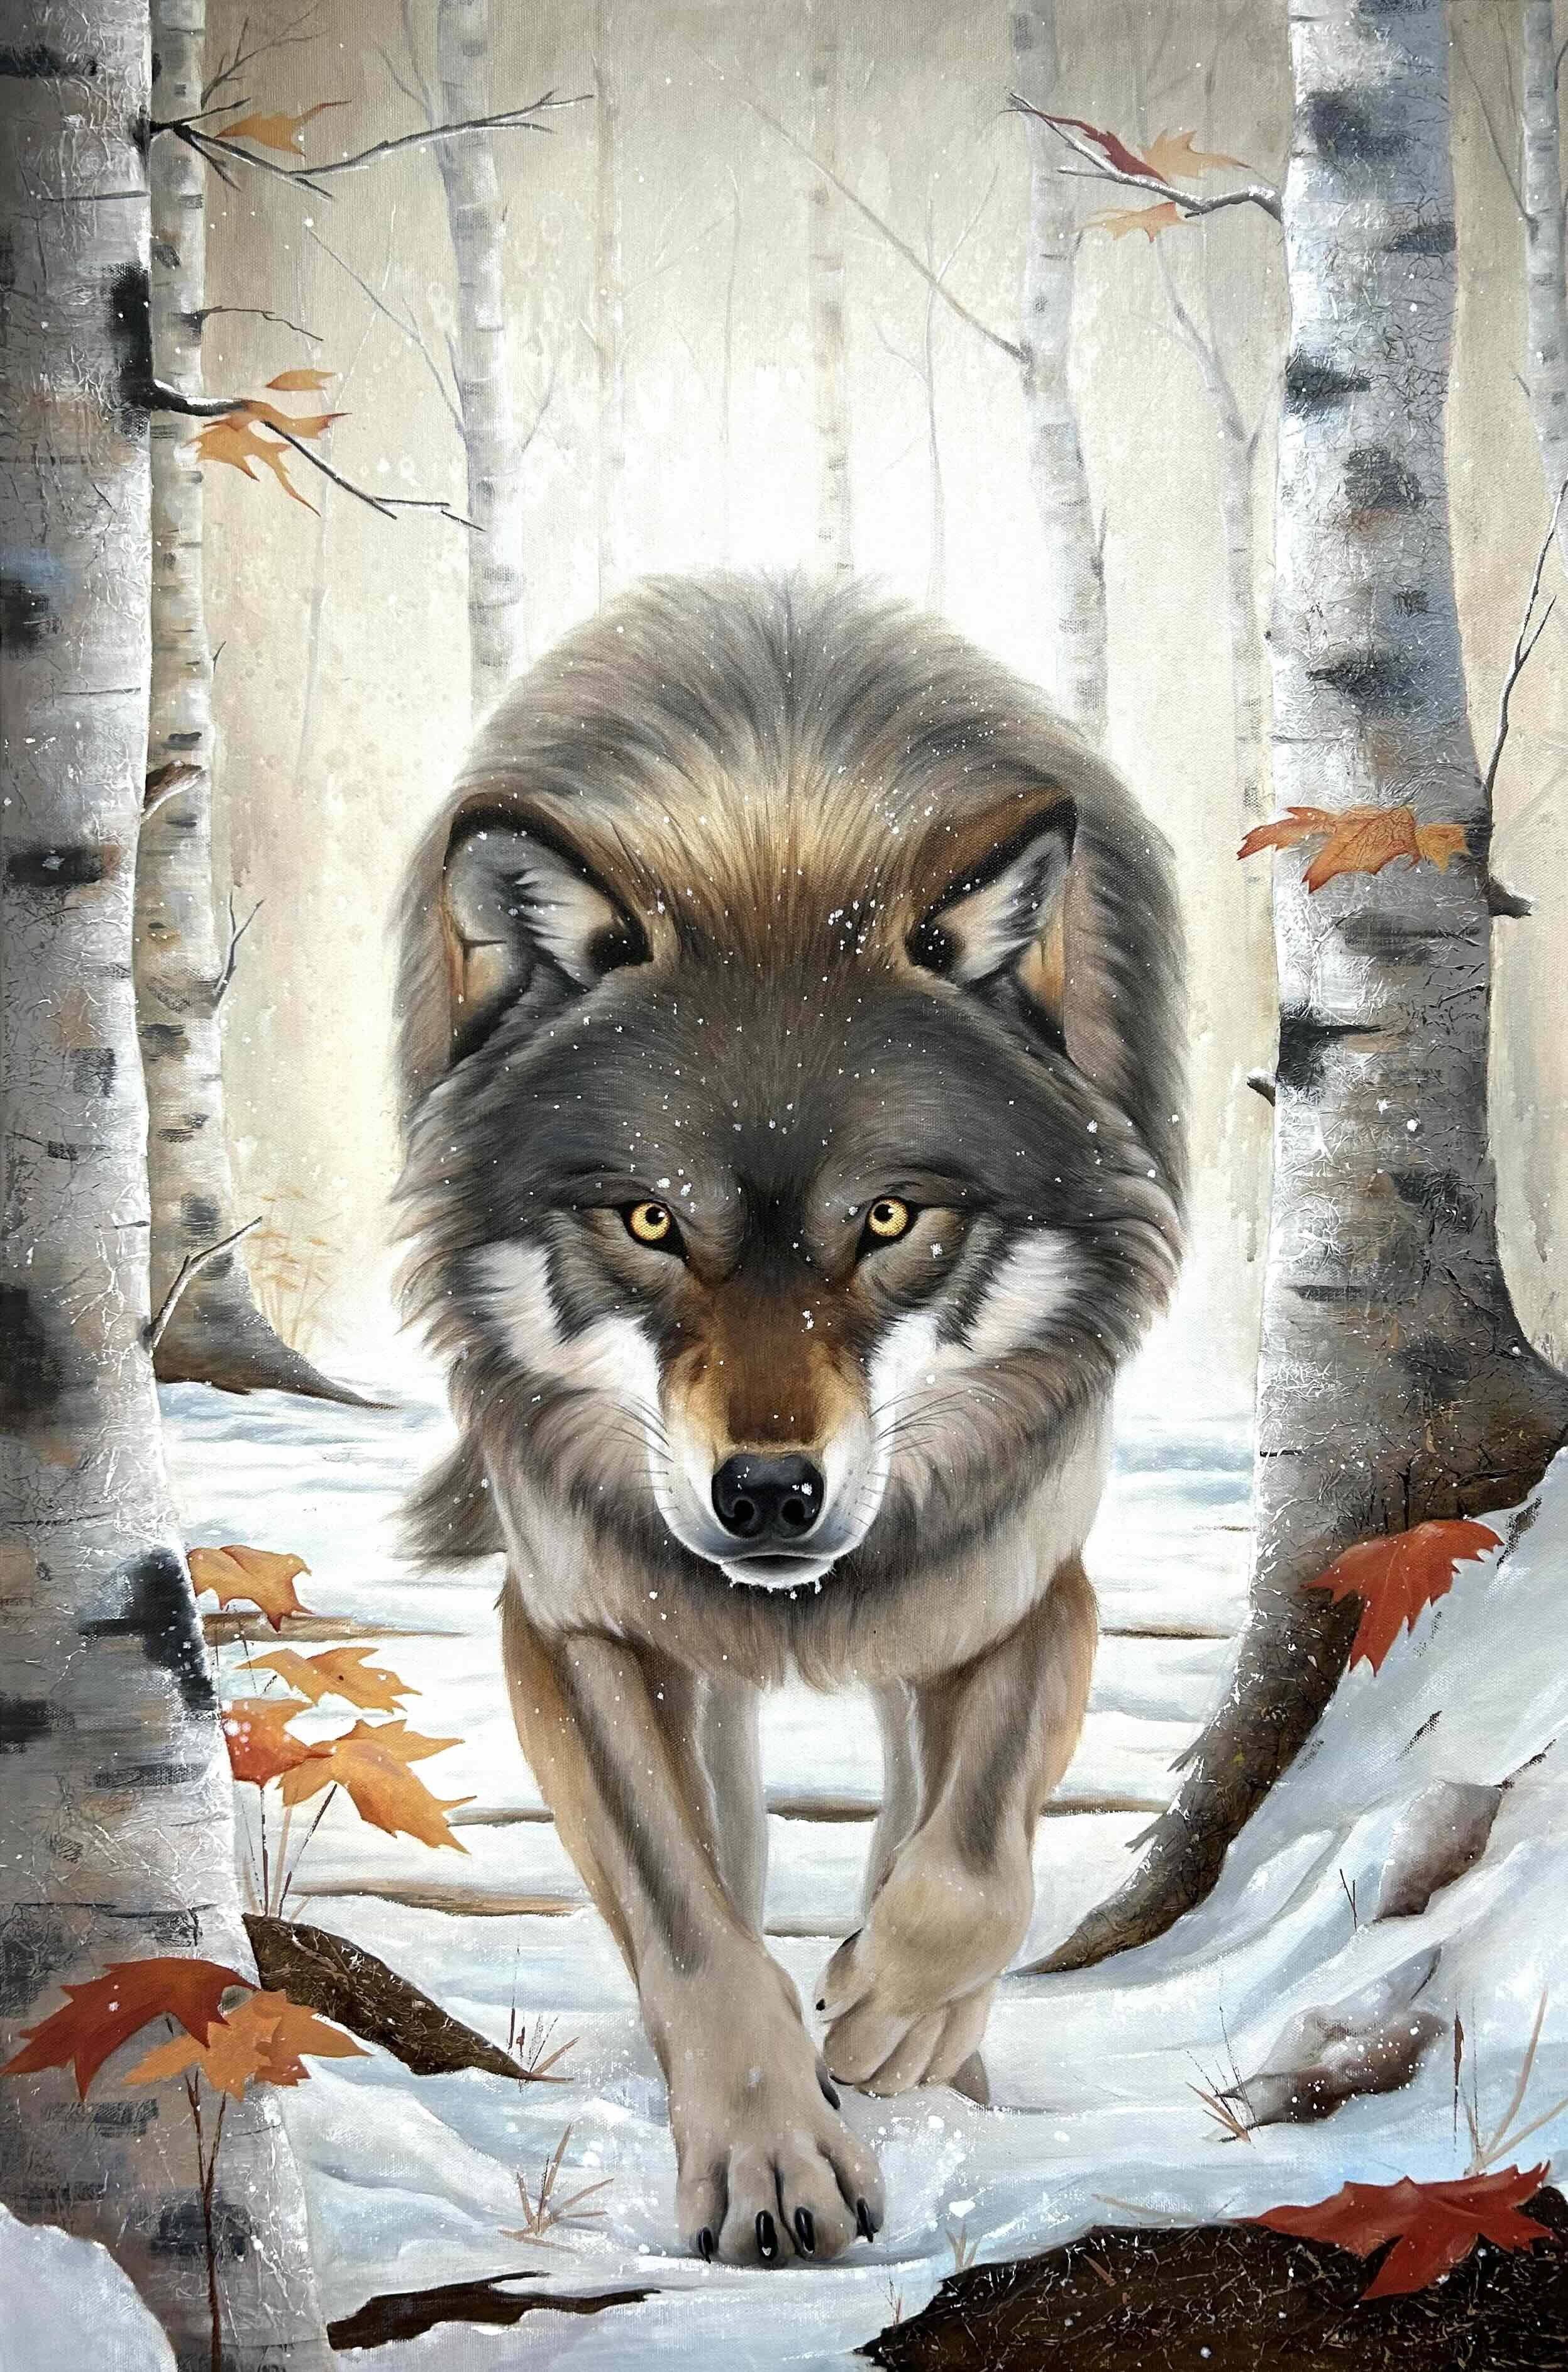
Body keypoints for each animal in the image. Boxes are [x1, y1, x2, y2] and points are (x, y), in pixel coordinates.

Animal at [395, 573, 1184, 2268]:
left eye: (887, 1219)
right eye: (646, 1220)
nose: (767, 1495)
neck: (774, 824)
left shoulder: (1022, 1574)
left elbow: (969, 1860)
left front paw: (897, 2021)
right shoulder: (570, 1617)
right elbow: (686, 1919)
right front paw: (770, 2150)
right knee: (732, 1837)